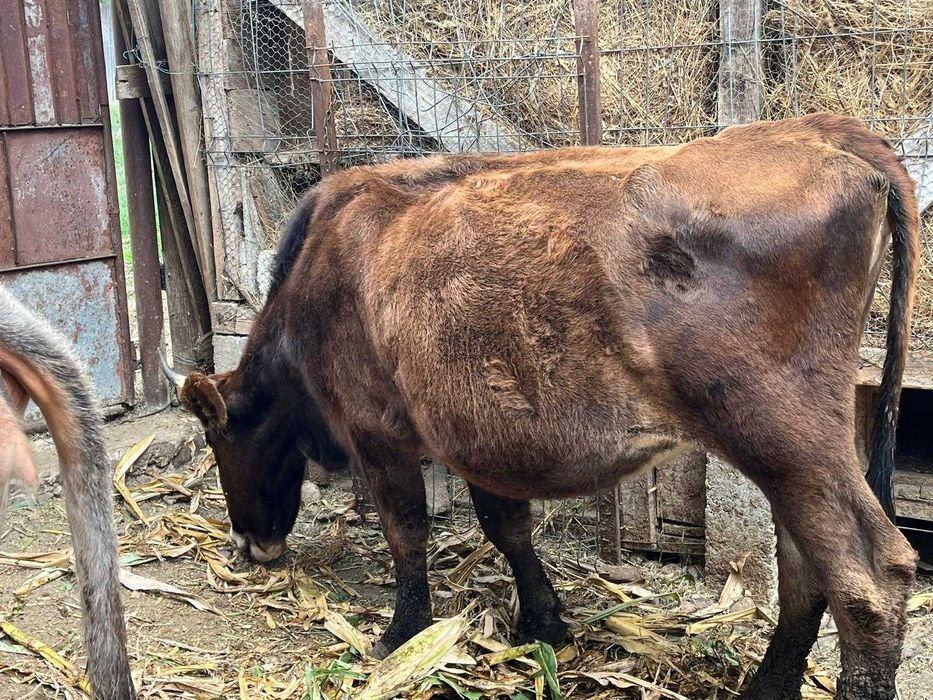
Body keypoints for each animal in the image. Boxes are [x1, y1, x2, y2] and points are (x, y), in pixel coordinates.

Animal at [163, 114, 918, 700]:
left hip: (782, 436)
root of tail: (822, 131)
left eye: (221, 444)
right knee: (805, 569)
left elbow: (408, 532)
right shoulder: (476, 433)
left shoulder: (376, 432)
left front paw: (402, 635)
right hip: (795, 452)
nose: (250, 545)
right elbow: (508, 526)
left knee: (869, 576)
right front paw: (544, 621)